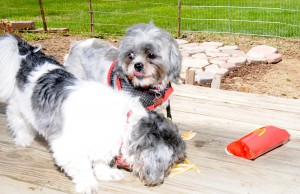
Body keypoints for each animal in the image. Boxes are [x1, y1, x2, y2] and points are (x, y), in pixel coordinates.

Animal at [0, 34, 185, 194]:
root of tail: (29, 55)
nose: (161, 178)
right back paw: (23, 139)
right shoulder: (69, 148)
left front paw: (106, 173)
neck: (125, 120)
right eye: (170, 163)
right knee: (17, 120)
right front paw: (88, 184)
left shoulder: (101, 144)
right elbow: (83, 168)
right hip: (18, 106)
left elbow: (100, 161)